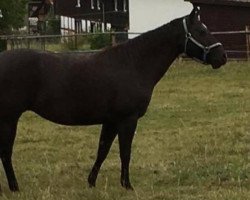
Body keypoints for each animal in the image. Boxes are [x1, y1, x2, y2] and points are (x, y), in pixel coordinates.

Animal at [0, 7, 227, 192]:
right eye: (202, 31)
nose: (222, 57)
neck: (133, 63)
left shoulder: (110, 121)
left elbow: (102, 150)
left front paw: (91, 182)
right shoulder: (128, 119)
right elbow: (125, 152)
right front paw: (127, 185)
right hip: (9, 119)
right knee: (6, 153)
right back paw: (15, 187)